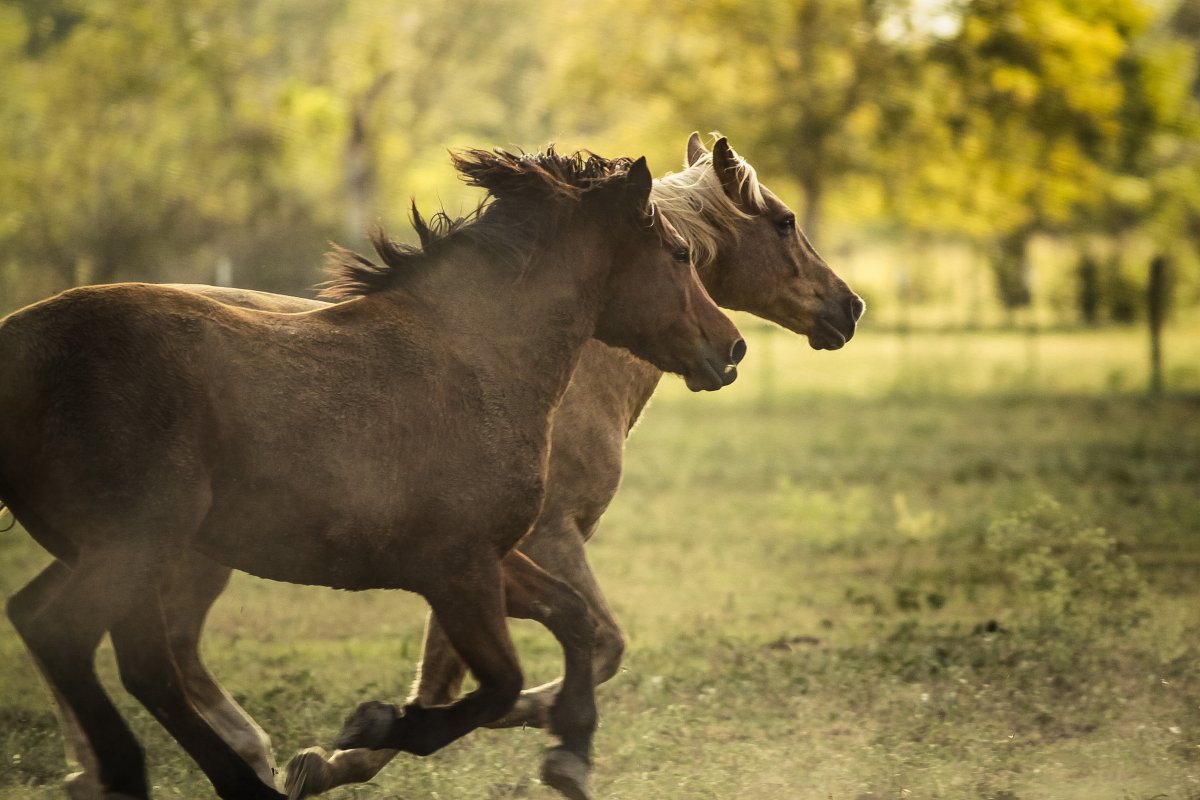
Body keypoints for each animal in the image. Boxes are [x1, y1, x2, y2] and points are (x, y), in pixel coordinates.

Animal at [0, 148, 744, 800]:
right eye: (679, 254)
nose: (731, 348)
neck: (478, 358)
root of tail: (20, 345)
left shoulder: (485, 557)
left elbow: (574, 619)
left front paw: (570, 754)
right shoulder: (458, 567)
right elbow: (499, 682)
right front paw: (379, 722)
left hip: (117, 551)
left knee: (107, 649)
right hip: (137, 545)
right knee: (76, 636)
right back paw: (160, 776)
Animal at [140, 133, 859, 800]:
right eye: (785, 221)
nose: (850, 309)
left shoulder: (477, 556)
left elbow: (456, 669)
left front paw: (357, 748)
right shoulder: (542, 538)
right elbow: (598, 644)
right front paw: (547, 737)